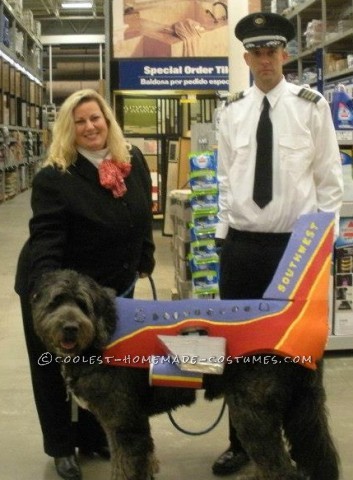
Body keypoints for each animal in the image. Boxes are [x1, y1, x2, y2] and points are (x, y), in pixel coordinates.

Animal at [32, 270, 338, 480]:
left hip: (254, 415)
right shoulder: (136, 424)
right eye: (56, 302)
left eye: (82, 304)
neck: (102, 332)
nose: (70, 328)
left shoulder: (124, 424)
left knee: (281, 469)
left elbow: (125, 467)